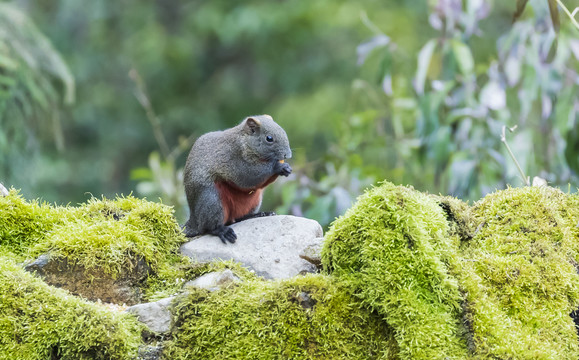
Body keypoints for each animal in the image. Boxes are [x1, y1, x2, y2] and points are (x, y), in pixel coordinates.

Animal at [184, 114, 292, 245]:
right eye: (269, 138)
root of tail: (194, 221)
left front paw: (286, 168)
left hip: (254, 201)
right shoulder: (234, 160)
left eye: (283, 131)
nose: (288, 155)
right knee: (209, 227)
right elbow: (249, 177)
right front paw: (278, 166)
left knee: (237, 218)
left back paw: (258, 215)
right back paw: (223, 231)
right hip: (211, 199)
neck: (245, 141)